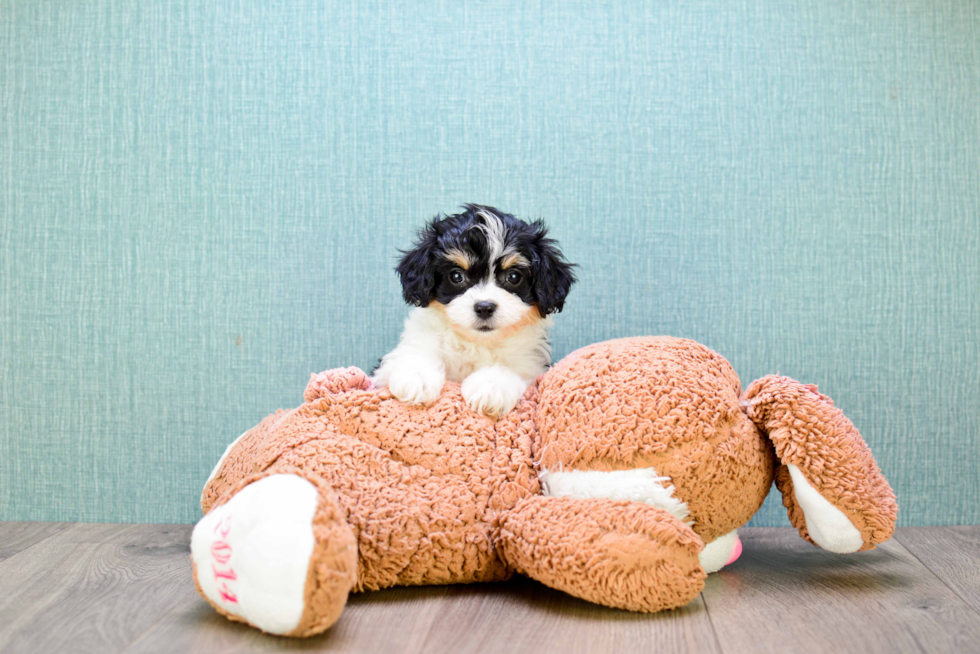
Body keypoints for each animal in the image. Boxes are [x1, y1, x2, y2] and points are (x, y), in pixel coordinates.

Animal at [374, 205, 576, 420]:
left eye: (513, 277)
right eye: (456, 276)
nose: (484, 307)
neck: (477, 343)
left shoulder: (531, 364)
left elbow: (509, 370)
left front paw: (491, 387)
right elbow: (417, 352)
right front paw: (416, 377)